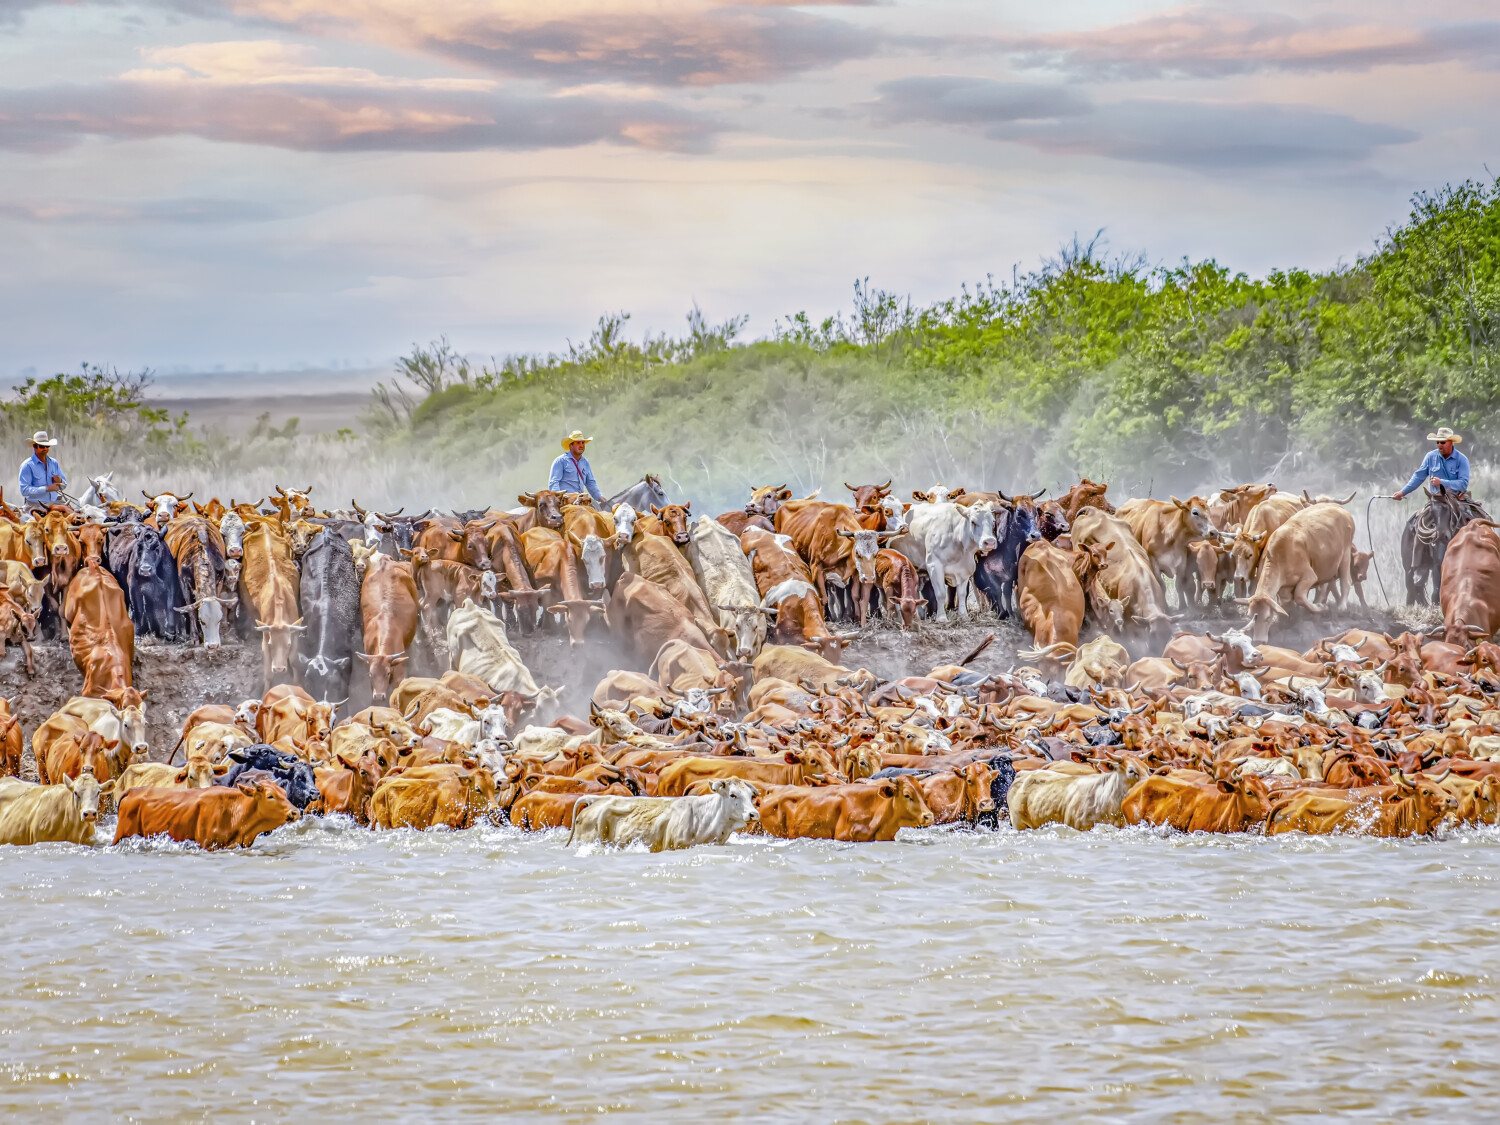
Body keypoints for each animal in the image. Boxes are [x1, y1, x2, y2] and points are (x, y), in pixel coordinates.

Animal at [114, 778, 300, 849]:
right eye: (270, 796)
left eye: (284, 792)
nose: (295, 812)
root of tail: (132, 791)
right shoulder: (206, 844)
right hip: (120, 836)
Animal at [1237, 503, 1356, 643]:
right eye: (1251, 616)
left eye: (1268, 617)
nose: (1258, 641)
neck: (1279, 556)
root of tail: (1338, 507)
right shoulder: (1284, 588)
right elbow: (1287, 604)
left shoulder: (1310, 576)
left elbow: (1299, 596)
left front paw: (1321, 607)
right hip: (1327, 566)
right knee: (1324, 586)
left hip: (1345, 555)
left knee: (1346, 581)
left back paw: (1341, 607)